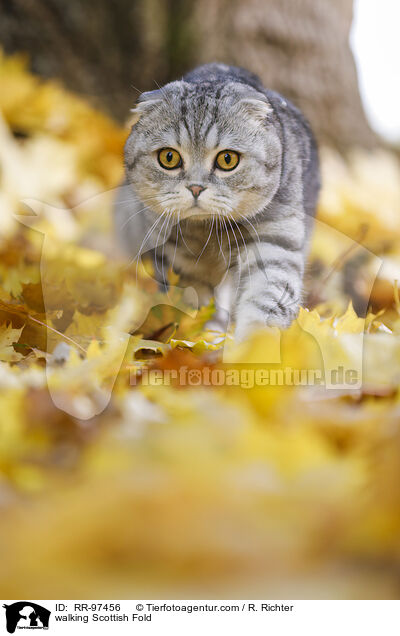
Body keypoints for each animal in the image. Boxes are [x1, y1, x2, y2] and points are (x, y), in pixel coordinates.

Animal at [114, 64, 320, 340]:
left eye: (227, 159)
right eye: (169, 158)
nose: (196, 187)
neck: (209, 233)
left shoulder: (275, 241)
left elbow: (266, 300)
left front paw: (255, 344)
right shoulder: (176, 257)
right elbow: (192, 302)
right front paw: (197, 334)